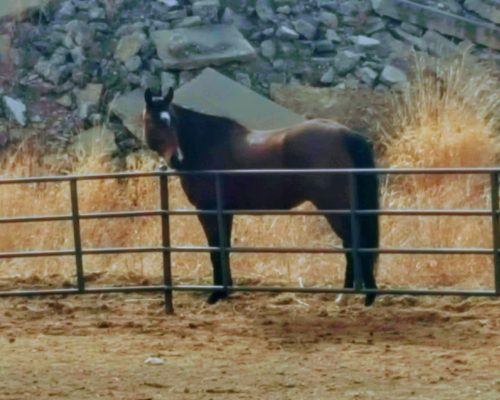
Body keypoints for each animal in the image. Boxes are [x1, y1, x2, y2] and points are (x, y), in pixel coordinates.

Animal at [142, 88, 378, 306]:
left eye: (172, 121)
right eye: (154, 122)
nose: (176, 158)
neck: (207, 146)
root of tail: (347, 134)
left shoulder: (207, 211)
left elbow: (215, 249)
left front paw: (216, 294)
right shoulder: (225, 212)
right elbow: (224, 247)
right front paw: (225, 290)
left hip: (335, 207)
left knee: (353, 243)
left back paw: (357, 295)